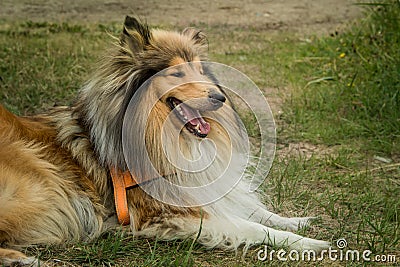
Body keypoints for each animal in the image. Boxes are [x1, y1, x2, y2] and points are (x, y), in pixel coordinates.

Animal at [0, 16, 328, 266]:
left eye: (200, 70)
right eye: (177, 73)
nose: (220, 98)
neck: (167, 137)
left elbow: (255, 211)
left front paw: (296, 221)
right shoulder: (166, 212)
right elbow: (249, 226)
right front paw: (307, 242)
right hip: (38, 190)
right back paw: (22, 258)